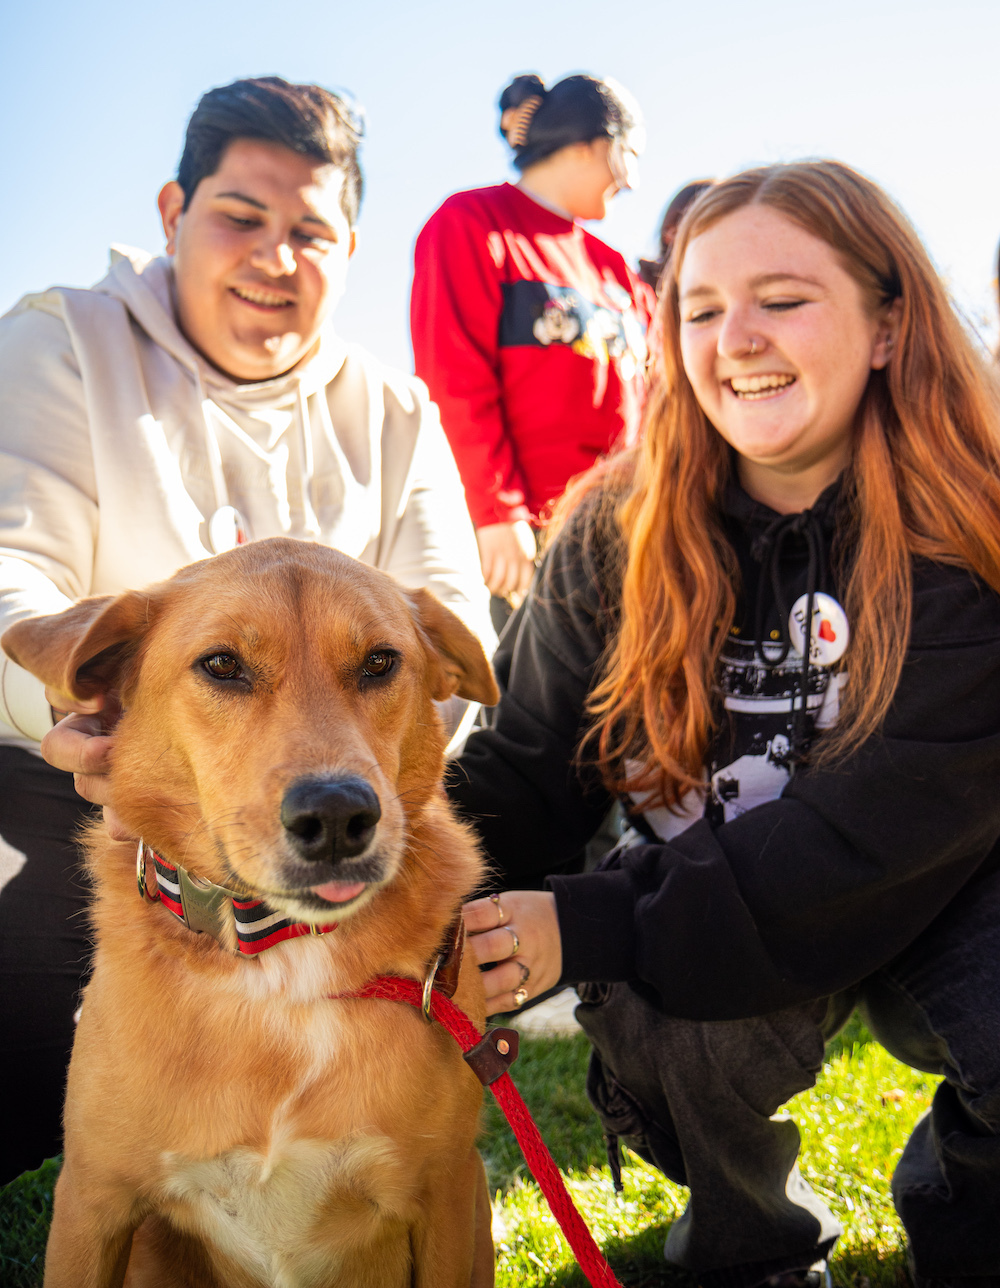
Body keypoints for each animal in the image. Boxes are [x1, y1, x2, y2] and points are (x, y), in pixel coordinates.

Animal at [0, 540, 500, 1288]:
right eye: (222, 666)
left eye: (380, 662)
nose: (336, 815)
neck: (279, 961)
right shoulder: (92, 1200)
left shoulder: (445, 1195)